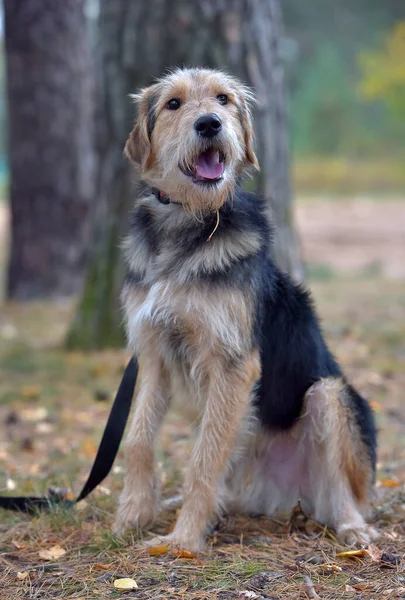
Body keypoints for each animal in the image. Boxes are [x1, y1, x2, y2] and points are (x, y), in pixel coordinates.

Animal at [113, 68, 376, 552]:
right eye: (174, 104)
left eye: (224, 99)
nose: (209, 124)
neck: (187, 228)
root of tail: (282, 497)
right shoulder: (154, 355)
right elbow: (137, 440)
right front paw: (131, 519)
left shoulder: (233, 363)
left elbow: (202, 458)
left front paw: (182, 540)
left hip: (329, 396)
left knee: (343, 492)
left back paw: (354, 530)